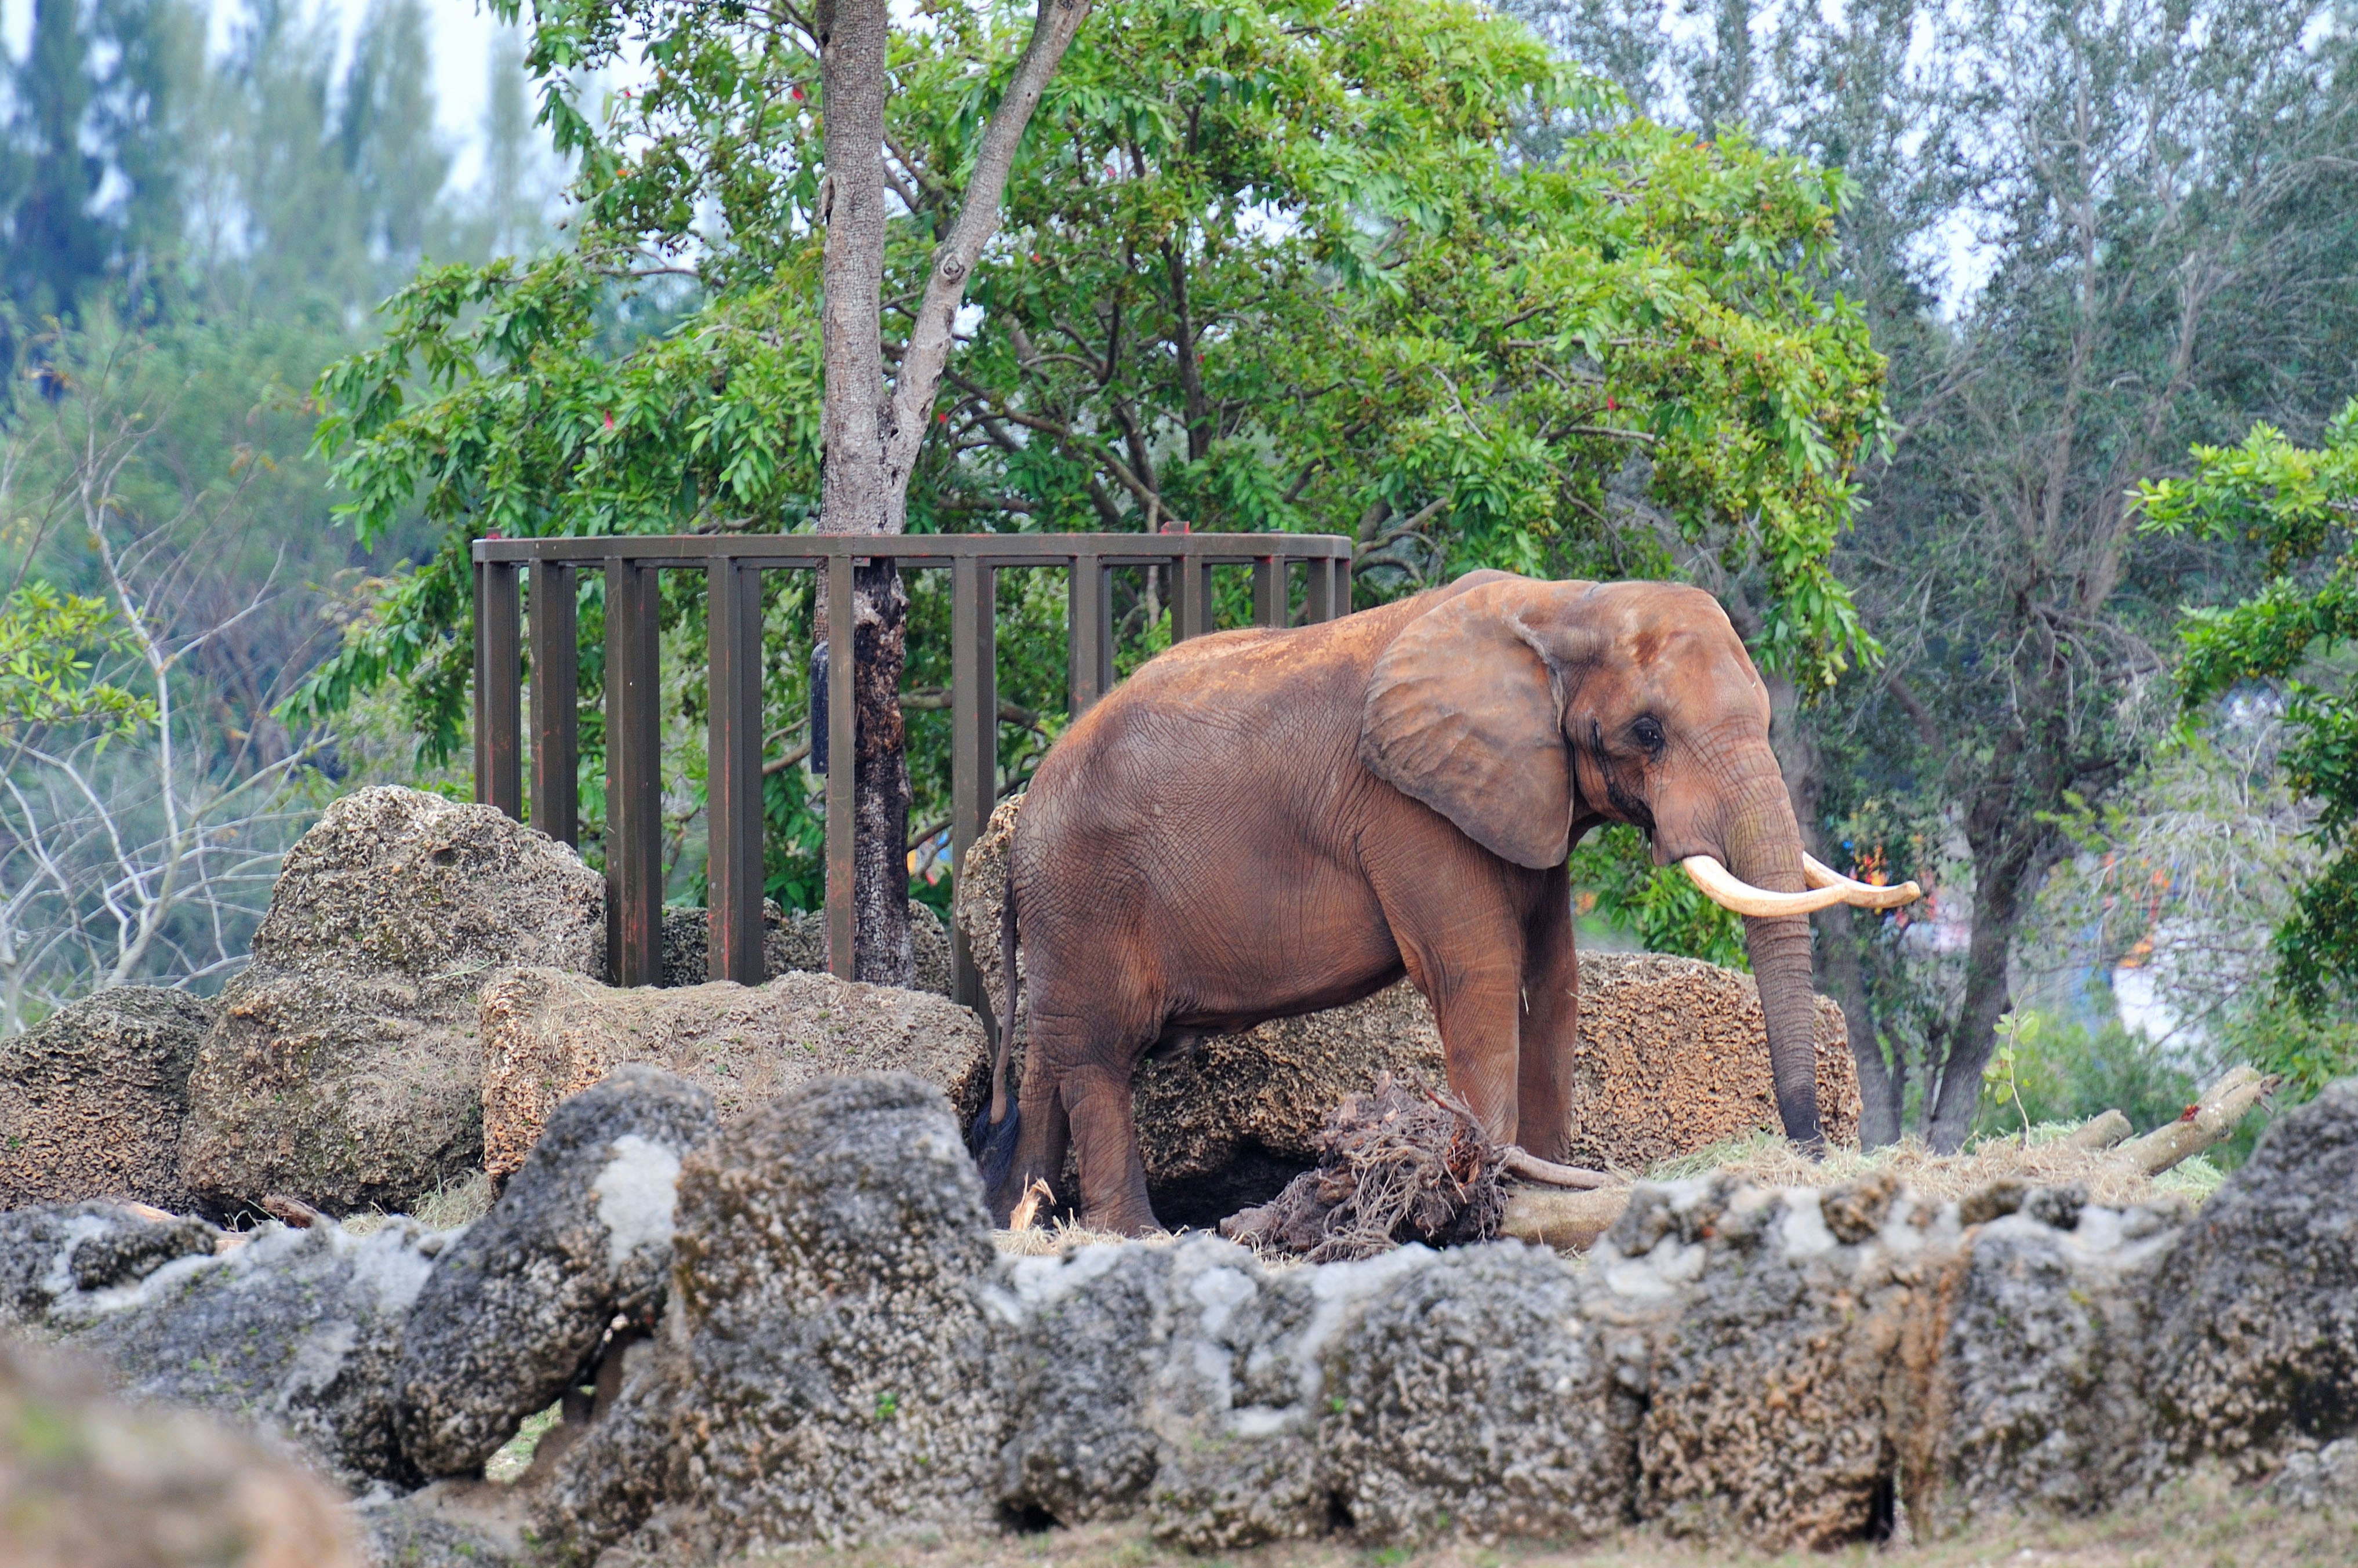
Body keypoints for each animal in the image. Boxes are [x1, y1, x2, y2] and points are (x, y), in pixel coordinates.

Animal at [974, 570, 1917, 1235]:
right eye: (1647, 733)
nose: (1807, 1151)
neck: (1559, 603)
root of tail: (1017, 823)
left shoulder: (1521, 795)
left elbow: (1553, 976)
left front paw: (1550, 1176)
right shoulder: (1406, 807)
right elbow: (1479, 969)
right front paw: (1502, 1188)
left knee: (1054, 1055)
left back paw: (1026, 1219)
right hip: (1086, 893)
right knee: (1098, 1055)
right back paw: (1133, 1235)